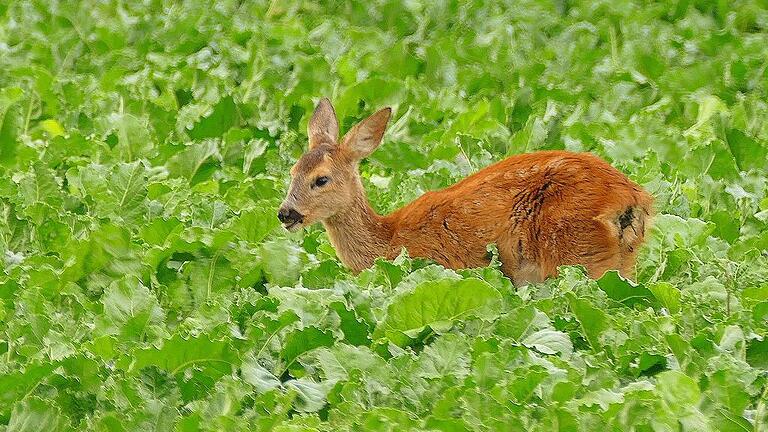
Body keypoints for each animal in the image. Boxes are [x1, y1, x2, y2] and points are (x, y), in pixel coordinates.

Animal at [280, 99, 652, 286]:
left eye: (321, 179)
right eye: (292, 172)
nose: (286, 214)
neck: (389, 241)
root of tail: (630, 198)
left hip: (575, 252)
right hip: (620, 260)